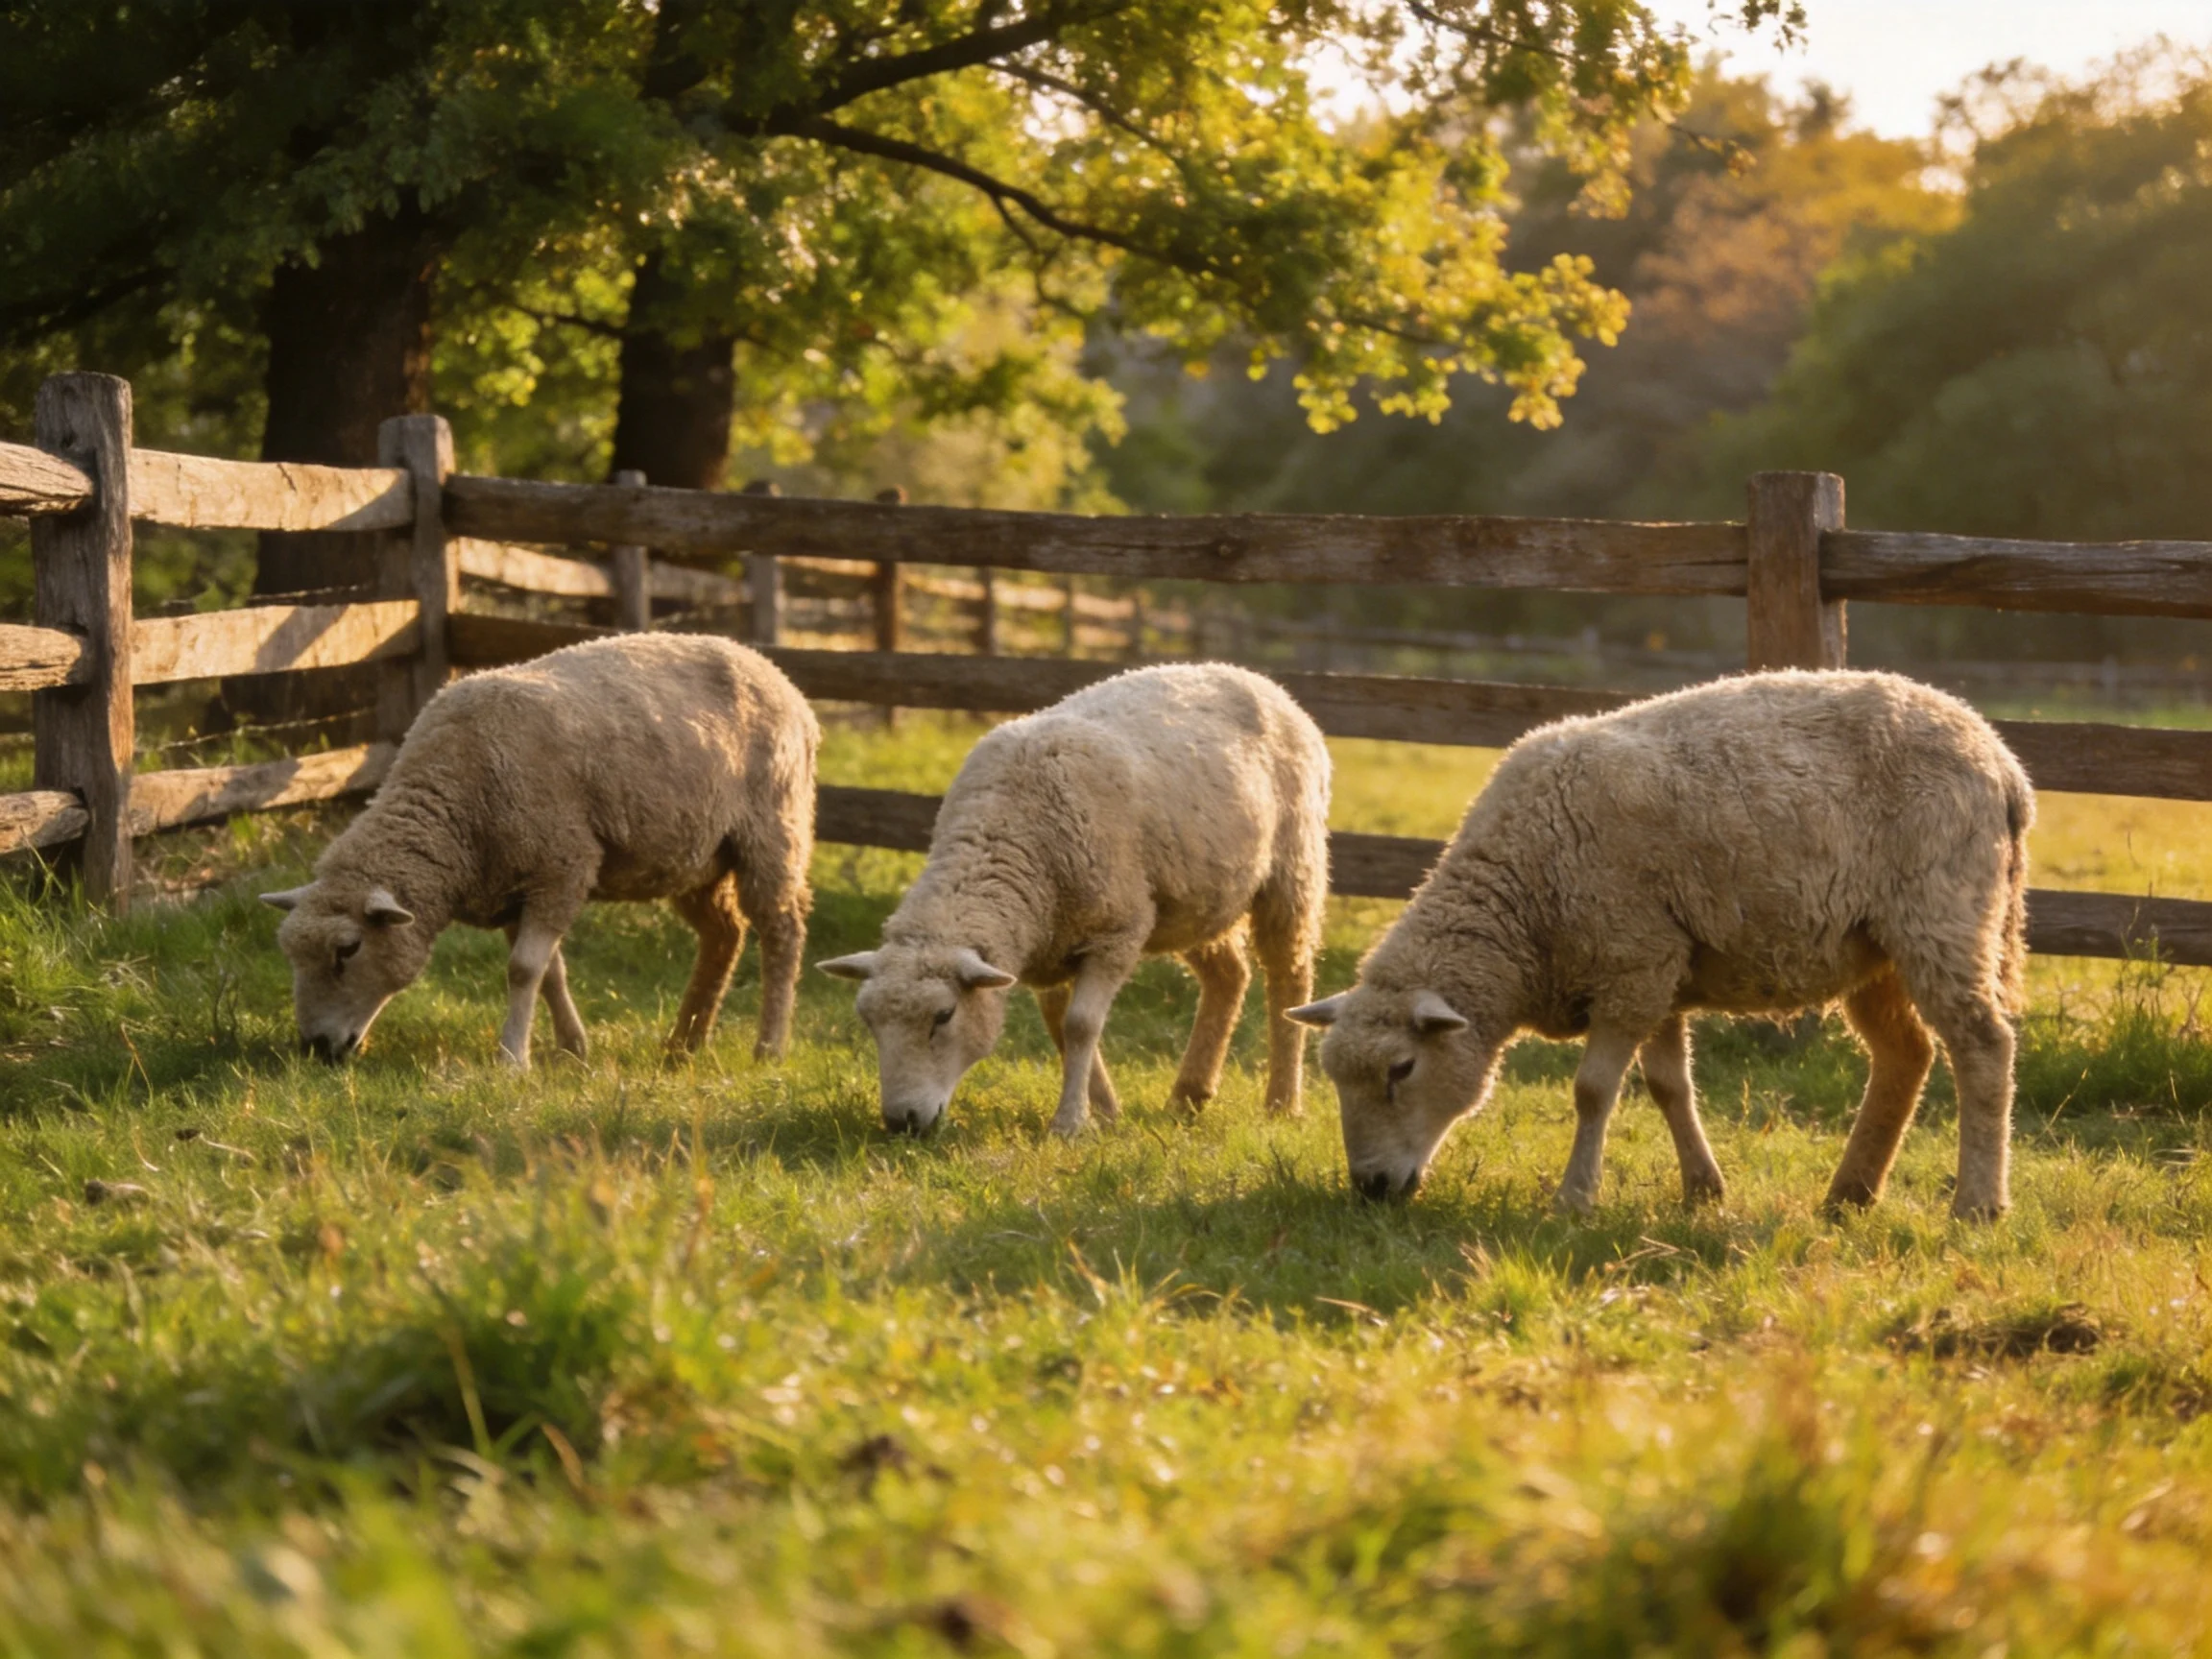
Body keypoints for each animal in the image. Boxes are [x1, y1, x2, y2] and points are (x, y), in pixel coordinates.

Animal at [262, 633, 818, 1068]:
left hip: (772, 830)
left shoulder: (562, 866)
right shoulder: (512, 885)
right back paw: (685, 1043)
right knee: (724, 935)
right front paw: (573, 1048)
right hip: (695, 857)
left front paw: (513, 1059)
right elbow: (549, 972)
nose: (315, 1048)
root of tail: (780, 679)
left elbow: (524, 969)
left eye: (348, 950)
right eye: (289, 954)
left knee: (781, 931)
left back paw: (769, 1047)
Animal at [820, 663, 1330, 1136]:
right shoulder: (1050, 945)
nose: (901, 1122)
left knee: (1289, 977)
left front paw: (1069, 1123)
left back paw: (1282, 1101)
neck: (1006, 832)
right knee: (1229, 976)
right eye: (868, 1021)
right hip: (1195, 901)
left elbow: (1081, 1024)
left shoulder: (1115, 933)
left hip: (1292, 870)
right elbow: (1058, 1025)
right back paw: (1190, 1093)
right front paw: (1102, 1111)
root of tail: (1253, 676)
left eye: (944, 1016)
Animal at [1289, 670, 2033, 1221]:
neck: (1524, 900)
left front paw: (1574, 1199)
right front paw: (1702, 1189)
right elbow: (1668, 1084)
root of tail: (2000, 757)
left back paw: (1978, 1205)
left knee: (1982, 1045)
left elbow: (1593, 1090)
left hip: (1942, 914)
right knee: (1906, 1055)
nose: (1370, 1189)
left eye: (1402, 1070)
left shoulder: (1631, 962)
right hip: (1873, 946)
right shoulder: (1658, 968)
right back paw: (1849, 1195)